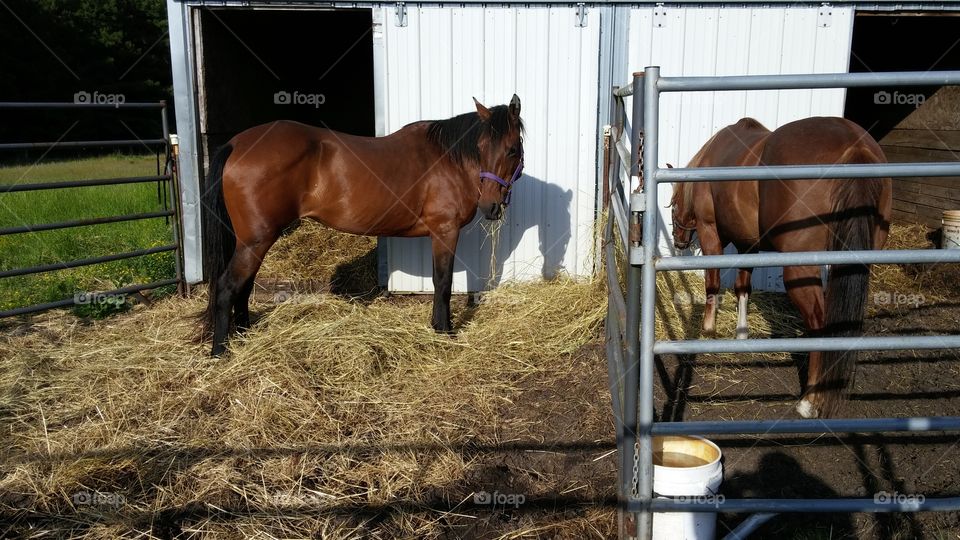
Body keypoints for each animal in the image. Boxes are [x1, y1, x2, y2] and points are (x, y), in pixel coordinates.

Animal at [199, 95, 525, 356]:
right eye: (481, 147)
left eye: (511, 149)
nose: (490, 205)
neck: (449, 160)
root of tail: (236, 144)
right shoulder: (445, 230)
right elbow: (442, 283)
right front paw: (444, 330)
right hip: (256, 240)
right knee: (228, 287)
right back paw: (220, 352)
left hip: (251, 241)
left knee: (243, 286)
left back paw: (243, 336)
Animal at [669, 117, 892, 418]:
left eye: (672, 204)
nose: (679, 241)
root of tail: (855, 147)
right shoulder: (748, 245)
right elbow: (742, 288)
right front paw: (741, 334)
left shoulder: (710, 233)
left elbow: (712, 283)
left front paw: (708, 329)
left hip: (800, 269)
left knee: (819, 322)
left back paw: (810, 401)